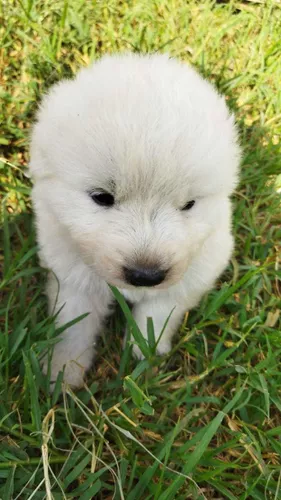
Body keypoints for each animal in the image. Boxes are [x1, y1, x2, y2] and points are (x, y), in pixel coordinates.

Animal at [31, 54, 241, 388]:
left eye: (189, 205)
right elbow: (73, 324)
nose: (146, 275)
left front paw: (144, 355)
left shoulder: (197, 269)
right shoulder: (70, 272)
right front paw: (61, 373)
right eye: (102, 197)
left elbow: (158, 312)